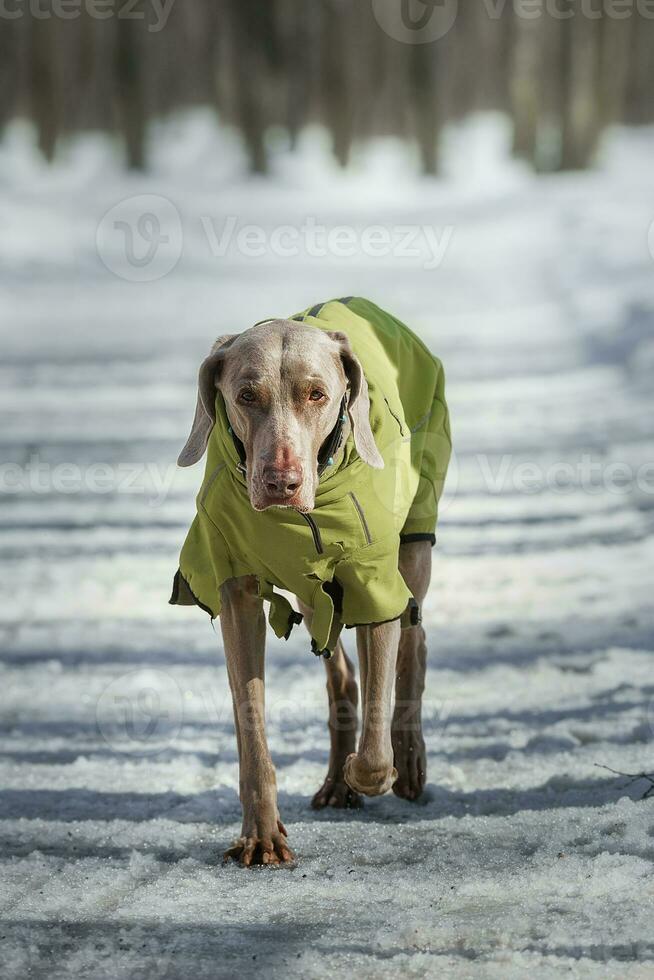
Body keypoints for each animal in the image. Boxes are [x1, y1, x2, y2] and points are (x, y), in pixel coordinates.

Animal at [172, 294, 454, 860]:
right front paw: (260, 834)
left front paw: (368, 768)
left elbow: (375, 753)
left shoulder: (374, 583)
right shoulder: (235, 589)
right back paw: (336, 781)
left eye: (317, 394)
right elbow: (250, 721)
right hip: (314, 589)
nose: (280, 482)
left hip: (415, 537)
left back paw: (408, 759)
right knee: (340, 669)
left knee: (413, 637)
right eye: (246, 395)